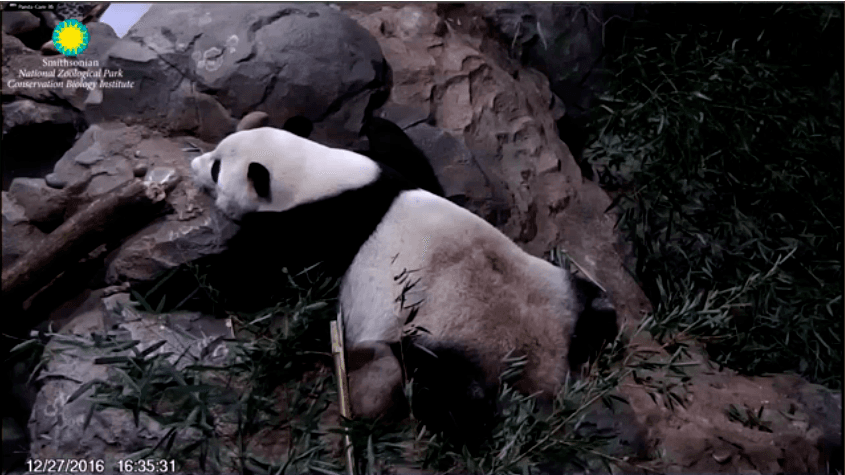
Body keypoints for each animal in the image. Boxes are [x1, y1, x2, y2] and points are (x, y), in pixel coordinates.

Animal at [190, 126, 618, 446]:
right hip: (558, 287)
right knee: (598, 308)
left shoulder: (318, 228)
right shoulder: (385, 177)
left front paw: (197, 282)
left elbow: (257, 274)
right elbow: (410, 160)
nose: (193, 163)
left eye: (217, 167)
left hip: (440, 342)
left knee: (451, 394)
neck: (316, 176)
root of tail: (546, 365)